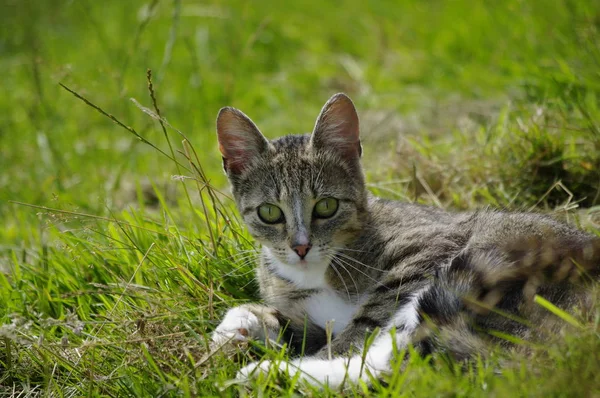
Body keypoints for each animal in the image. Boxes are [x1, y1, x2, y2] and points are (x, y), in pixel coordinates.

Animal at [211, 94, 600, 388]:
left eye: (326, 206)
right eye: (270, 213)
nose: (301, 247)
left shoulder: (428, 248)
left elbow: (361, 328)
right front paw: (240, 324)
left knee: (395, 361)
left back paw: (267, 373)